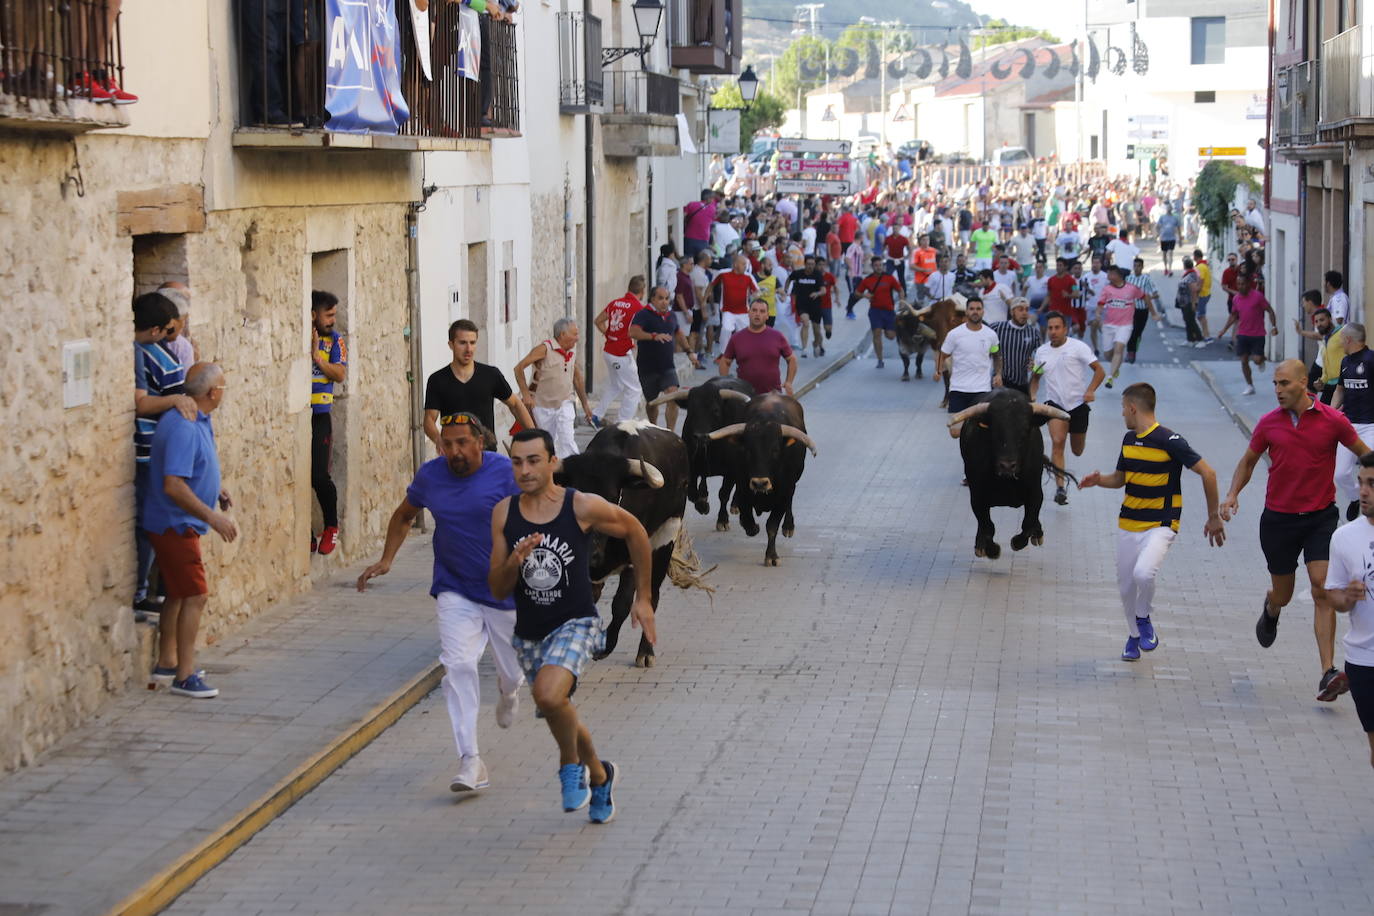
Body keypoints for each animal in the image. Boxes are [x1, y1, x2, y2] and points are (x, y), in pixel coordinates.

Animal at [555, 420, 687, 667]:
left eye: (610, 498)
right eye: (576, 498)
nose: (592, 554)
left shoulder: (635, 557)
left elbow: (622, 604)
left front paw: (605, 647)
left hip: (666, 537)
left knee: (651, 596)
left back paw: (646, 652)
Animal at [708, 395, 813, 565]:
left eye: (775, 450)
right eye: (748, 450)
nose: (760, 483)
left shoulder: (784, 493)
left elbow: (772, 526)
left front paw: (771, 556)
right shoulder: (743, 488)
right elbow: (747, 519)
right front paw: (753, 527)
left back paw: (788, 526)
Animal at [950, 387, 1077, 560]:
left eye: (1024, 431)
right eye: (994, 431)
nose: (1007, 466)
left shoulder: (1035, 492)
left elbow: (1028, 522)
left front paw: (1019, 541)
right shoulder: (977, 496)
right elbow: (987, 526)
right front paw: (990, 549)